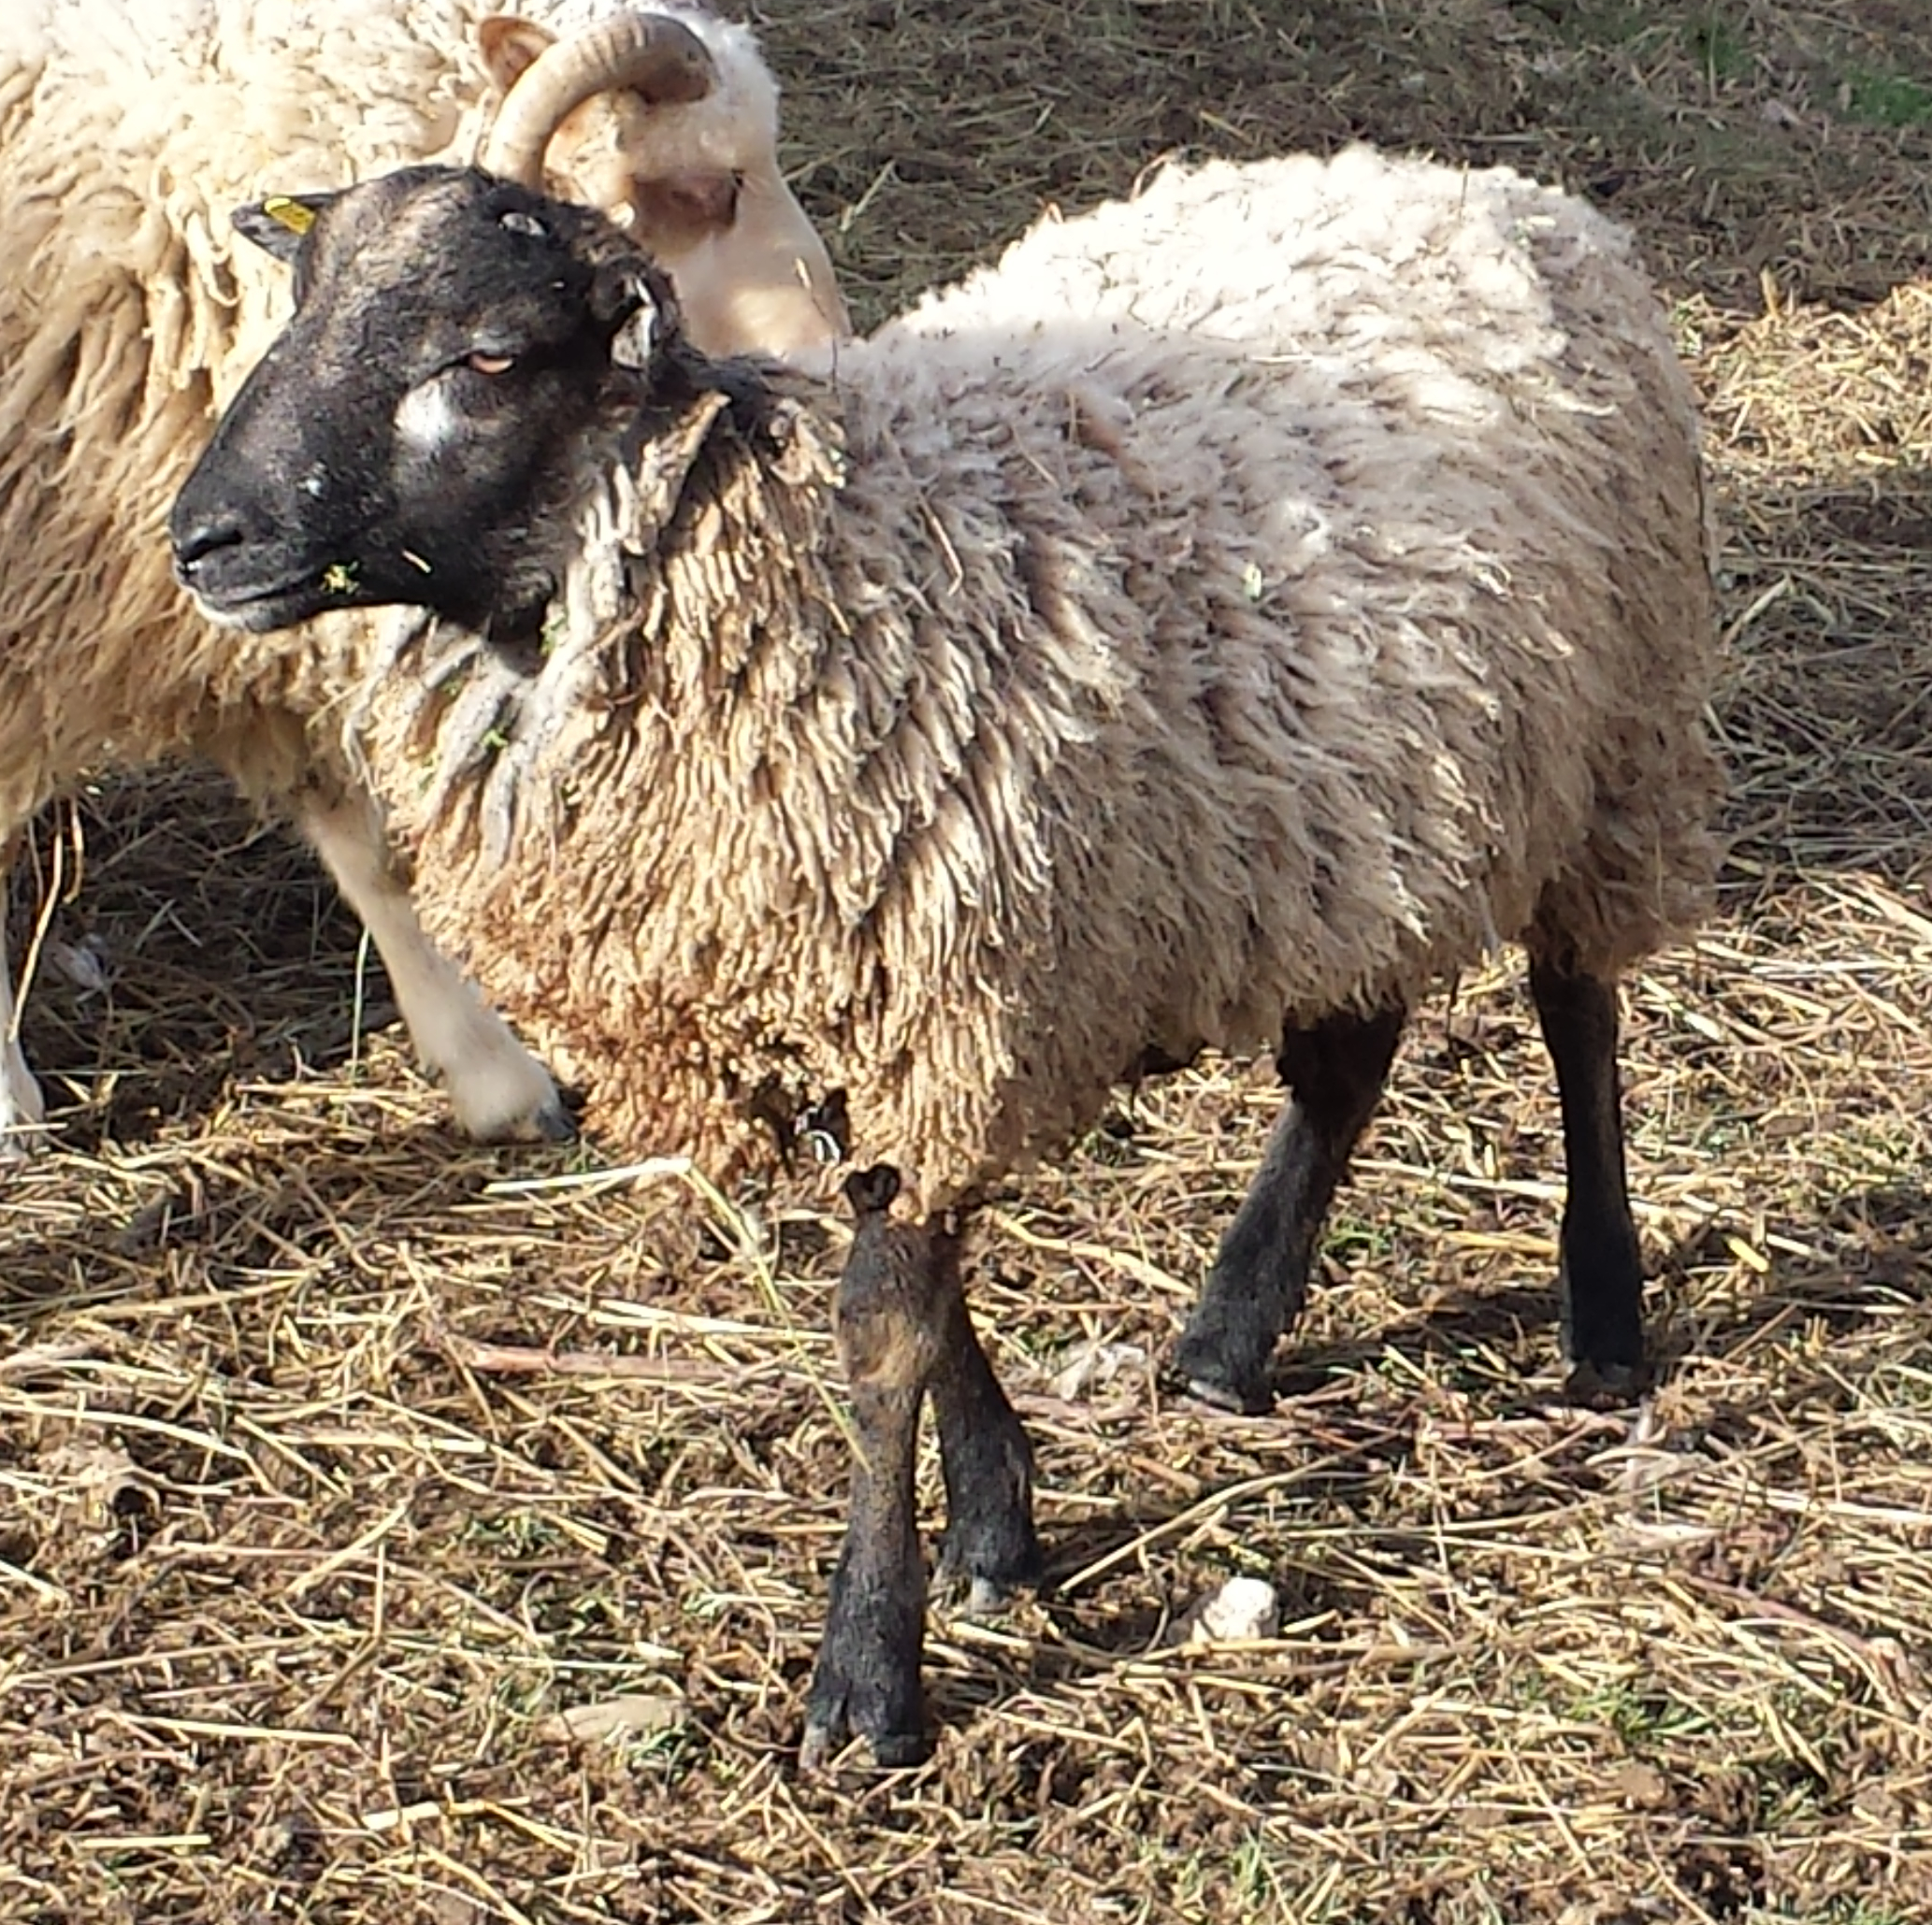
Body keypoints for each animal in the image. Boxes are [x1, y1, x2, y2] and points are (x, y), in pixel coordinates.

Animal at [169, 149, 1723, 1766]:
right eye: (295, 304)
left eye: (480, 357)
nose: (201, 540)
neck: (804, 555)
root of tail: (1478, 186)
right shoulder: (870, 1005)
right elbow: (922, 1300)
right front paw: (994, 1525)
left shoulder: (941, 995)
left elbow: (879, 1335)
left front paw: (866, 1671)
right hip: (1350, 809)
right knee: (1347, 1053)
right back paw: (1226, 1338)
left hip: (1613, 739)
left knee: (1575, 1012)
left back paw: (1603, 1317)